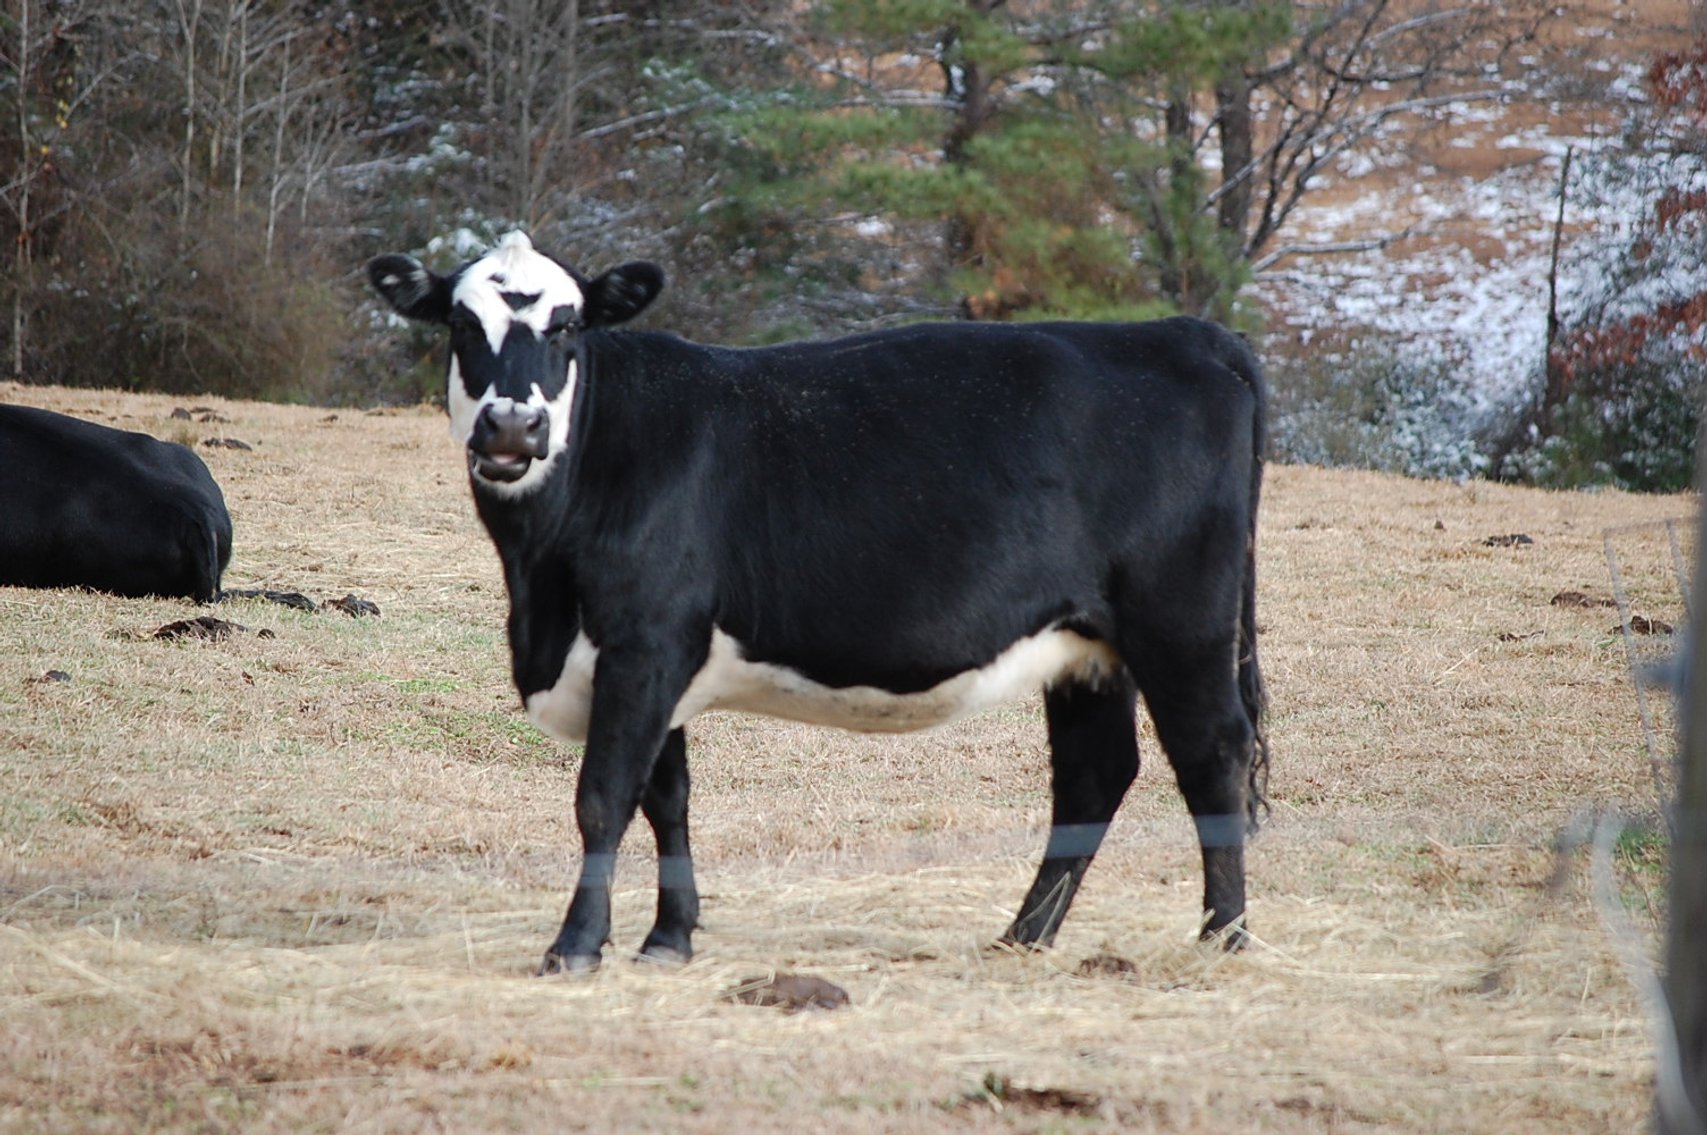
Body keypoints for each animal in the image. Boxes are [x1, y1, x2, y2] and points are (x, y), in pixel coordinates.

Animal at [368, 231, 1270, 974]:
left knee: (1212, 754)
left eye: (566, 325)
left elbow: (603, 797)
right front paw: (669, 937)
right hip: (1087, 644)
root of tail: (1179, 331)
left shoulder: (643, 640)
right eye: (461, 325)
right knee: (1093, 773)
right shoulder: (660, 653)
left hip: (1180, 620)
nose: (510, 427)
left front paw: (576, 945)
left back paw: (1222, 934)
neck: (541, 582)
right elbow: (668, 797)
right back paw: (1022, 936)